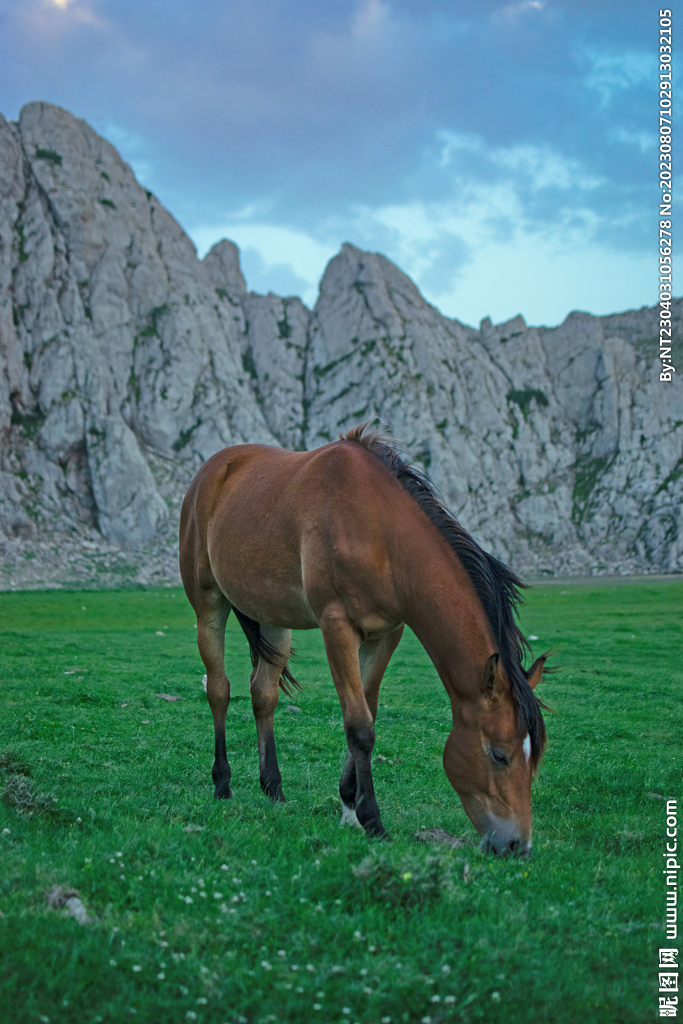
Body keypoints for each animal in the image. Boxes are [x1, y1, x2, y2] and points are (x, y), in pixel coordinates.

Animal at [179, 424, 548, 856]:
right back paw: (222, 783)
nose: (517, 845)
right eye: (500, 755)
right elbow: (359, 726)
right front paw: (371, 819)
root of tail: (213, 470)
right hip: (208, 604)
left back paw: (274, 789)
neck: (380, 533)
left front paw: (348, 805)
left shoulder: (386, 633)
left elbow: (367, 709)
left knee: (263, 694)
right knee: (219, 689)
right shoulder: (337, 627)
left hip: (273, 619)